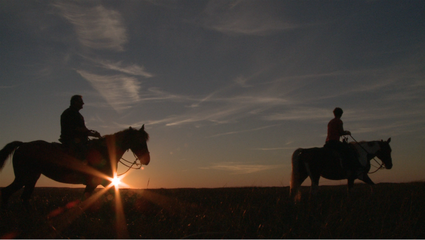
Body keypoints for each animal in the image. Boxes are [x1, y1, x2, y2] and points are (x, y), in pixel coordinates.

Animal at [0, 125, 150, 208]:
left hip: (31, 178)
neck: (104, 151)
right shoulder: (99, 181)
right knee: (7, 192)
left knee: (24, 197)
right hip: (23, 177)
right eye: (139, 140)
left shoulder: (98, 182)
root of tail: (23, 145)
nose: (147, 159)